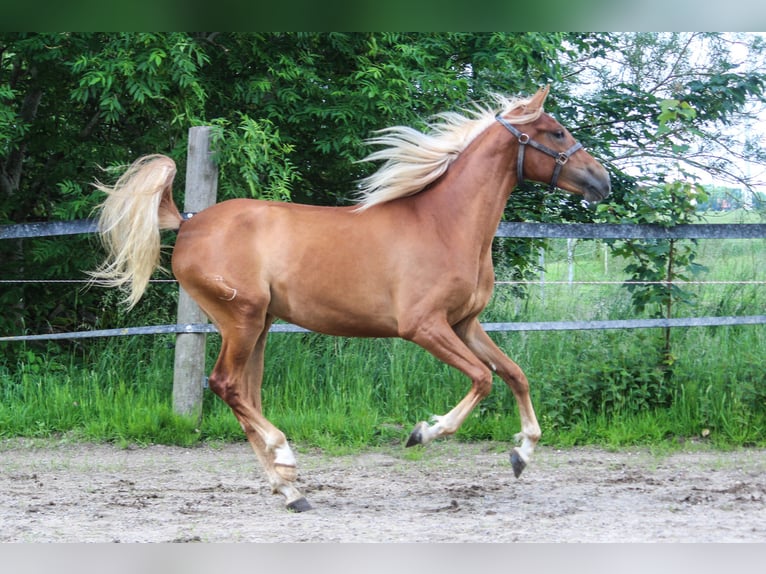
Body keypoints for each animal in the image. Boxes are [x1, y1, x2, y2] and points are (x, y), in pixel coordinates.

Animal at [93, 86, 616, 512]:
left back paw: (289, 488)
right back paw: (287, 462)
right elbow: (483, 379)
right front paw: (423, 432)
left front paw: (522, 452)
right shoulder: (424, 327)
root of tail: (189, 223)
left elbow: (514, 374)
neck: (445, 225)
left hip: (259, 324)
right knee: (226, 386)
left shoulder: (464, 323)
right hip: (241, 319)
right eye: (555, 132)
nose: (603, 182)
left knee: (245, 393)